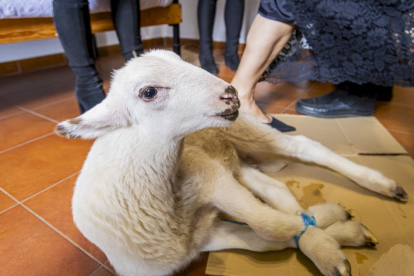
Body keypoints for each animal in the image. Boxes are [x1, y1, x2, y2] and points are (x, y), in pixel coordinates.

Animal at [55, 50, 408, 276]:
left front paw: (331, 231)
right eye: (149, 92)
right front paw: (331, 239)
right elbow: (266, 240)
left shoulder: (211, 177)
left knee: (306, 148)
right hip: (231, 156)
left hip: (244, 130)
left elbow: (269, 224)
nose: (231, 93)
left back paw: (384, 185)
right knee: (275, 189)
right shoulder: (203, 237)